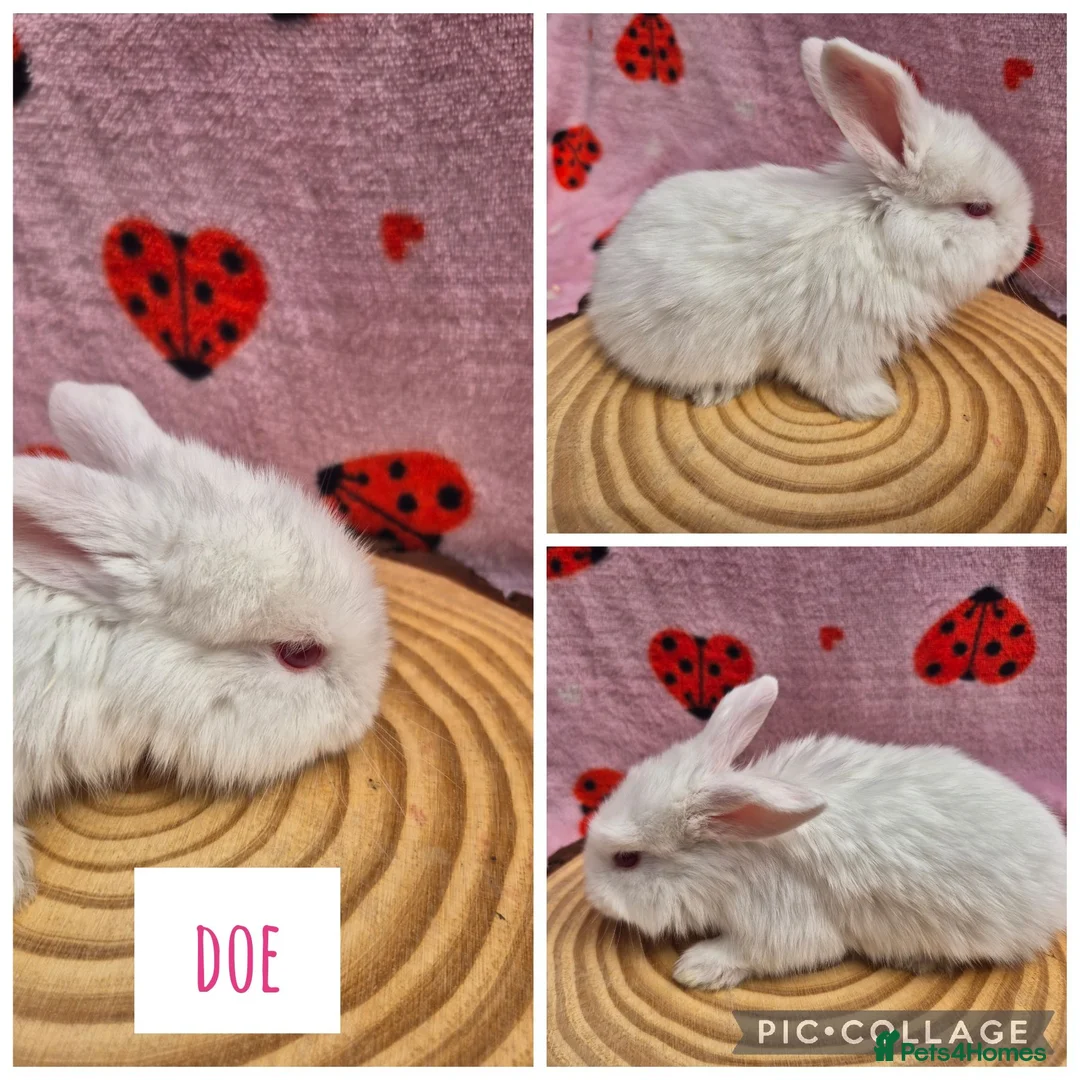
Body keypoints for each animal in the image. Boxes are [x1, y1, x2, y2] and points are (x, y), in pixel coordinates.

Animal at [583, 676, 1065, 990]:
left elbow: (756, 952)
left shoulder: (781, 918)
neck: (733, 856)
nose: (592, 896)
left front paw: (694, 968)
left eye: (626, 859)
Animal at [588, 37, 1034, 420]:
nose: (1025, 249)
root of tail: (601, 296)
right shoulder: (836, 343)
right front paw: (879, 403)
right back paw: (714, 390)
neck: (881, 236)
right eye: (977, 209)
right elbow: (835, 382)